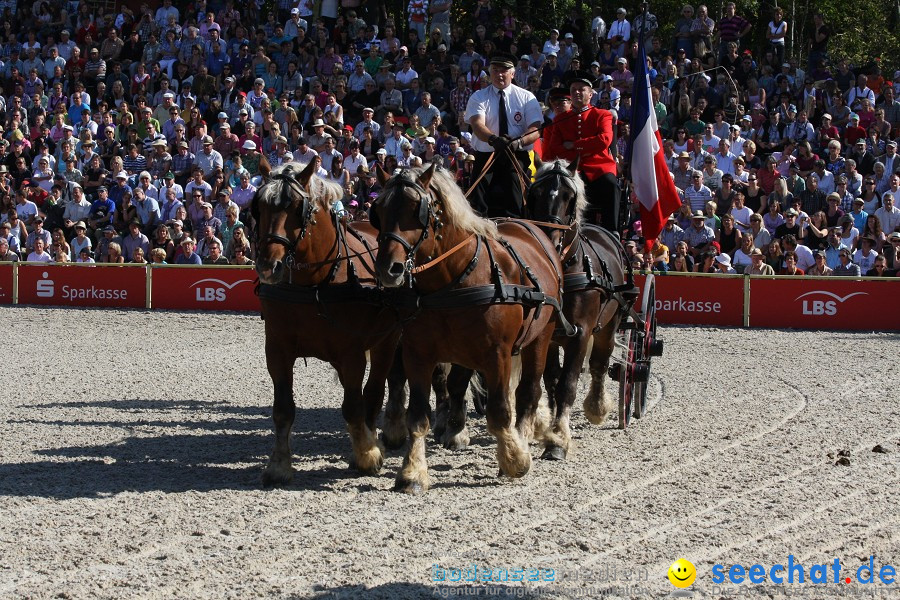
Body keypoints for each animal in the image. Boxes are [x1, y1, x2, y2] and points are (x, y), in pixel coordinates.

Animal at [255, 161, 400, 488]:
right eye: (259, 206)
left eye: (297, 208)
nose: (269, 266)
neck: (313, 284)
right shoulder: (277, 350)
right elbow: (283, 409)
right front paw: (279, 465)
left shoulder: (352, 352)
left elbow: (354, 406)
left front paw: (367, 455)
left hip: (387, 341)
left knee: (376, 392)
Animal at [368, 164, 568, 492]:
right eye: (379, 211)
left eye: (416, 210)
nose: (388, 269)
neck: (453, 280)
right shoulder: (417, 354)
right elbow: (417, 417)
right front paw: (412, 472)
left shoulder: (497, 355)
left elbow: (500, 412)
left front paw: (515, 460)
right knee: (458, 384)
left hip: (541, 338)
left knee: (529, 390)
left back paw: (525, 437)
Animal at [524, 157, 636, 458]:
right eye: (535, 193)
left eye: (568, 196)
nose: (549, 238)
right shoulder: (548, 336)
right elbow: (550, 381)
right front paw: (547, 427)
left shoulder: (581, 333)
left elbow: (568, 384)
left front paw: (557, 441)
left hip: (610, 323)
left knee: (600, 363)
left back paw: (597, 407)